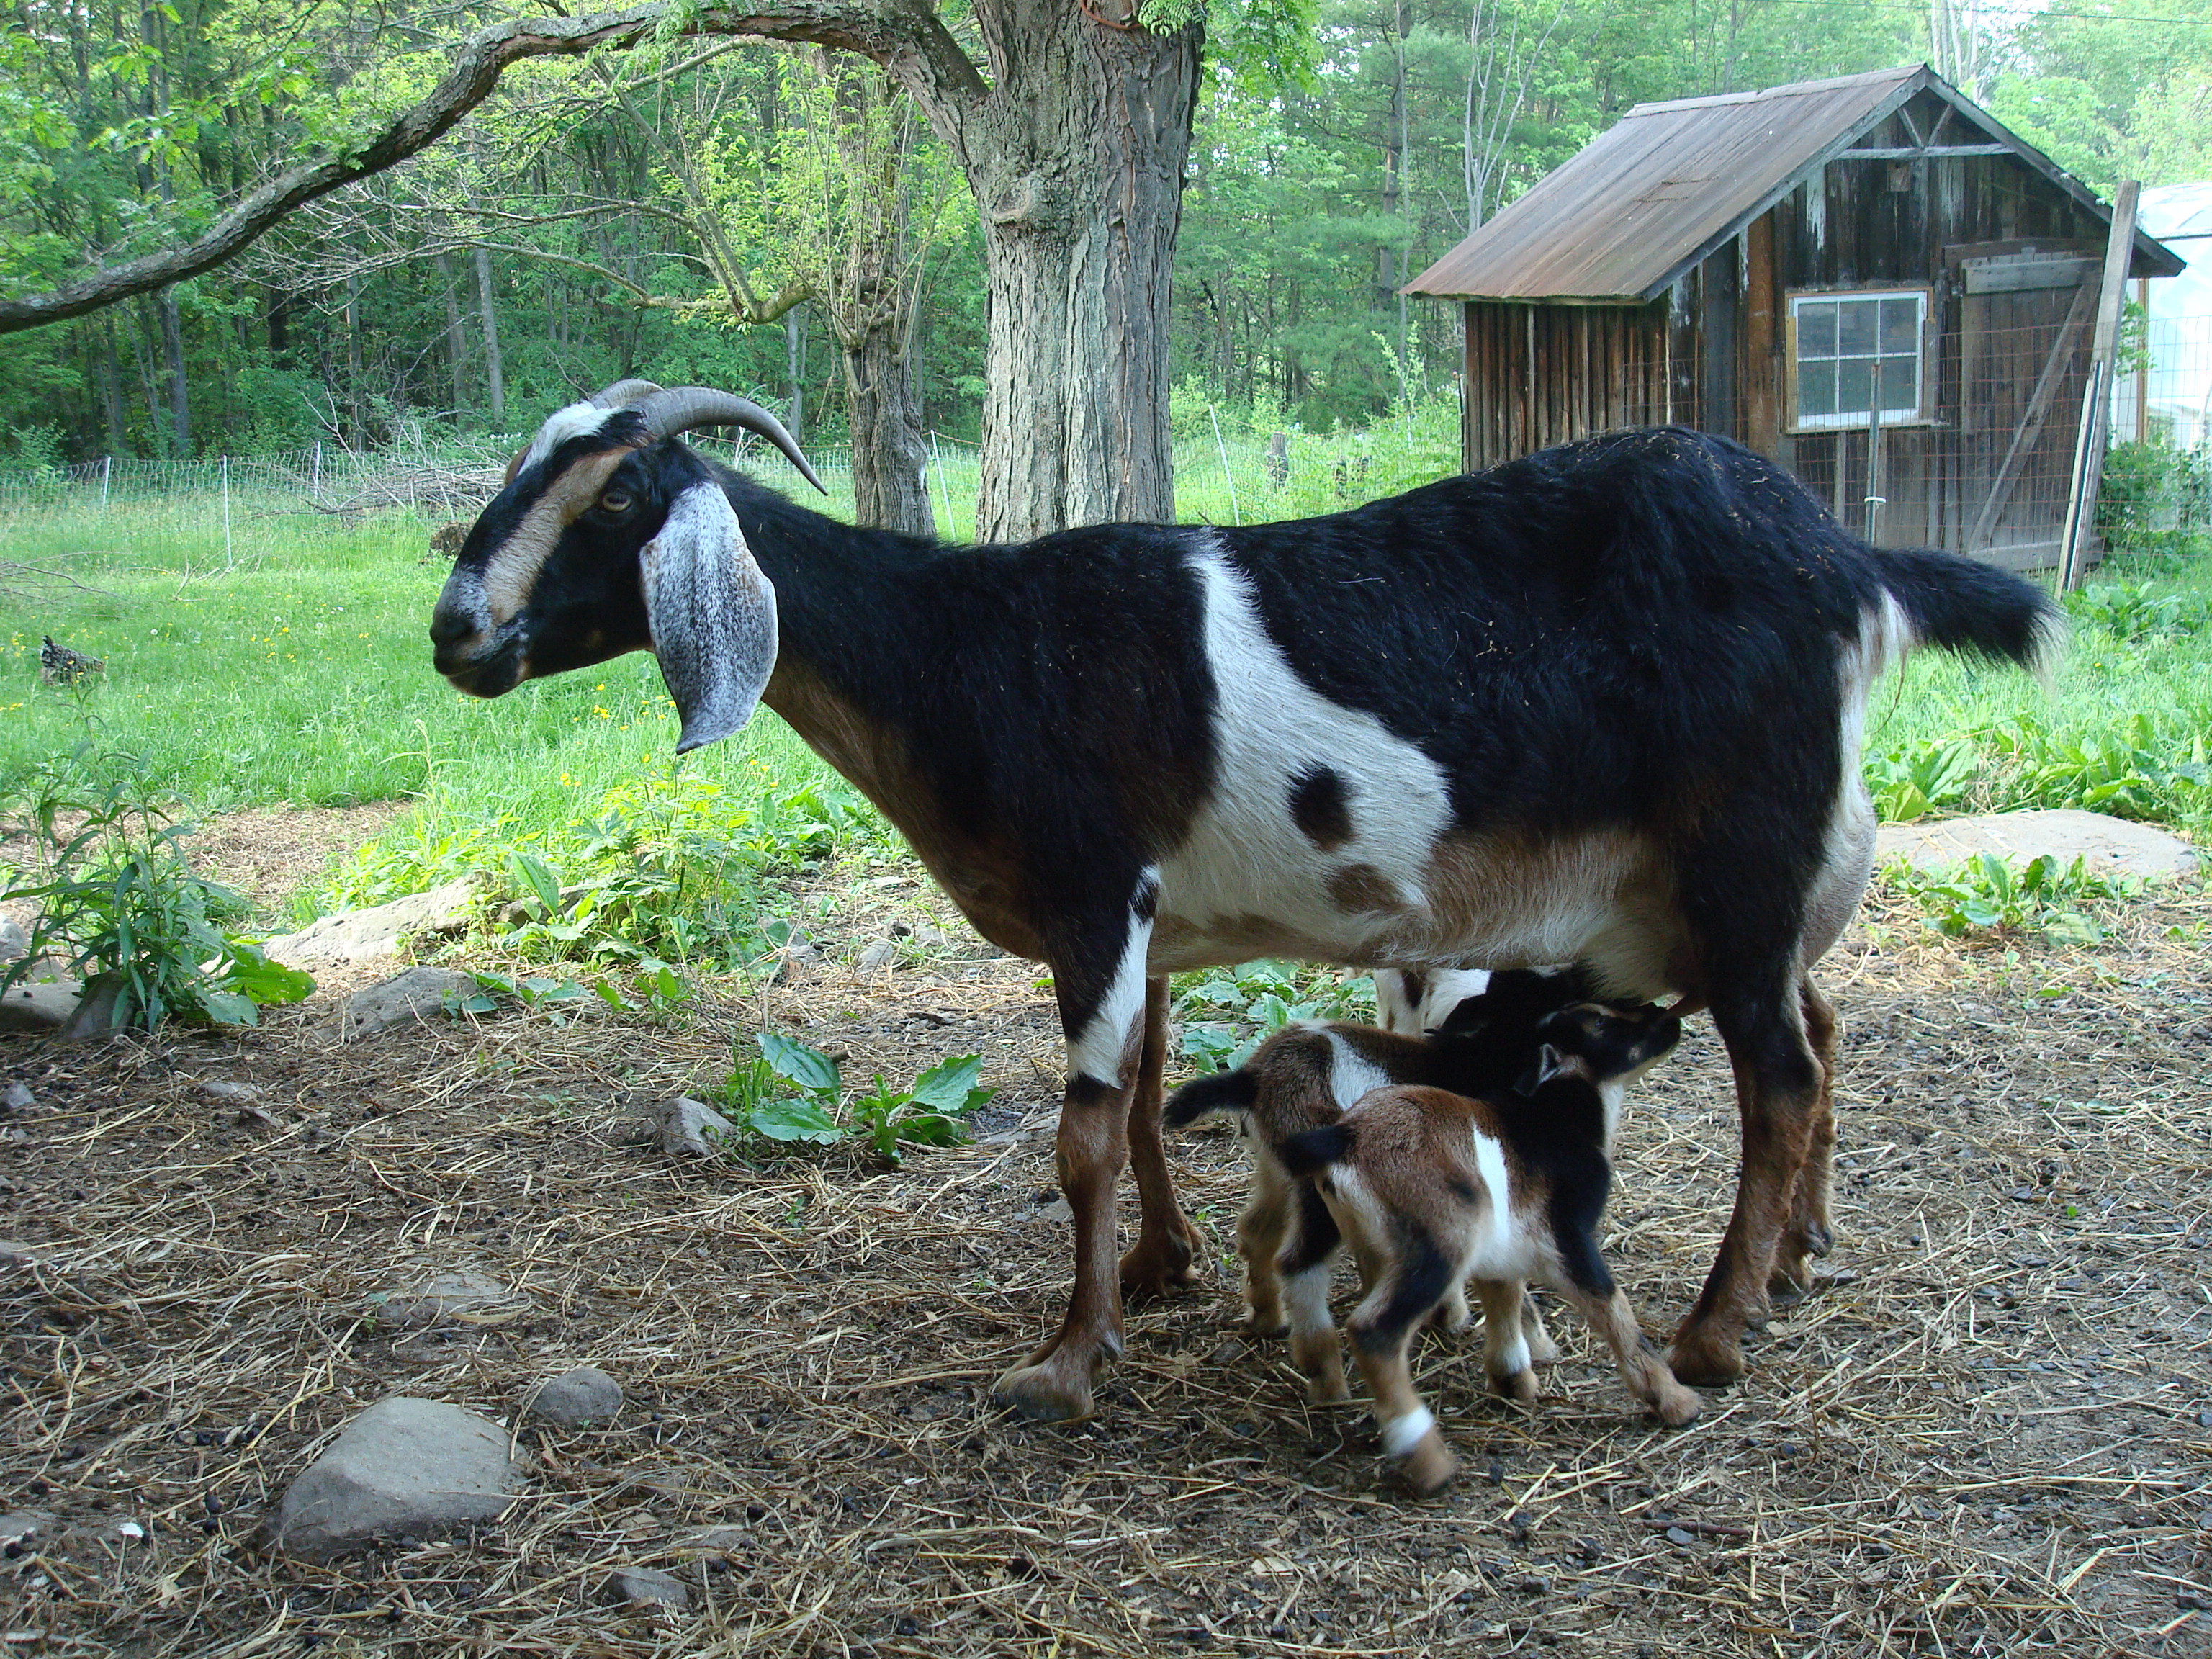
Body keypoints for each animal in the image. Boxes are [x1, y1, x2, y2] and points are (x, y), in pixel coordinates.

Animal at [1164, 966, 1611, 1399]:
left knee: (1257, 1231)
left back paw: (1266, 1318)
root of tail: (1254, 1078)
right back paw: (1327, 1377)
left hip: (1275, 1166)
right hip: (1317, 1184)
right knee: (1298, 1262)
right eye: (1550, 995)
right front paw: (1529, 1345)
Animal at [1279, 1002, 1697, 1492]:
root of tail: (1346, 1138)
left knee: (1301, 1268)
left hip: (1346, 1224)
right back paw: (1426, 1459)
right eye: (1597, 1022)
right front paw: (1674, 1400)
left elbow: (1505, 1295)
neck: (1555, 1121)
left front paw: (1514, 1380)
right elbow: (1614, 1309)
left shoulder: (1506, 1237)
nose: (1664, 1017)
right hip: (1441, 1242)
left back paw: (1323, 1376)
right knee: (1374, 1329)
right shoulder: (1569, 1235)